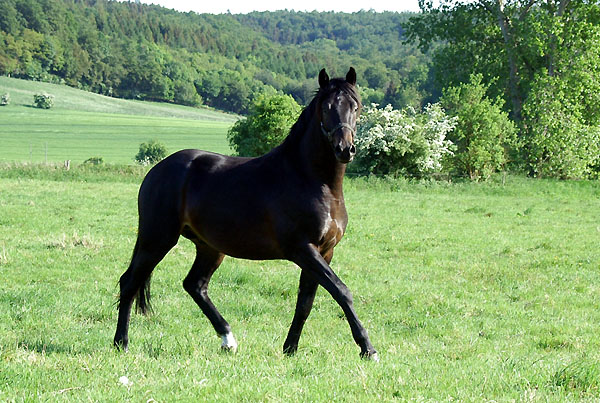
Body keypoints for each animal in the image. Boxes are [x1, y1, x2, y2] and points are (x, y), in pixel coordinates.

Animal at [112, 68, 378, 362]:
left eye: (356, 106)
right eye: (326, 107)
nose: (345, 149)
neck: (311, 180)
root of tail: (157, 170)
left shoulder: (325, 251)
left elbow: (306, 303)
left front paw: (290, 349)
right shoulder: (303, 249)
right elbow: (341, 292)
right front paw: (368, 348)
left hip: (209, 247)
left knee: (194, 285)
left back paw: (228, 339)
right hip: (157, 239)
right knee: (130, 283)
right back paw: (121, 343)